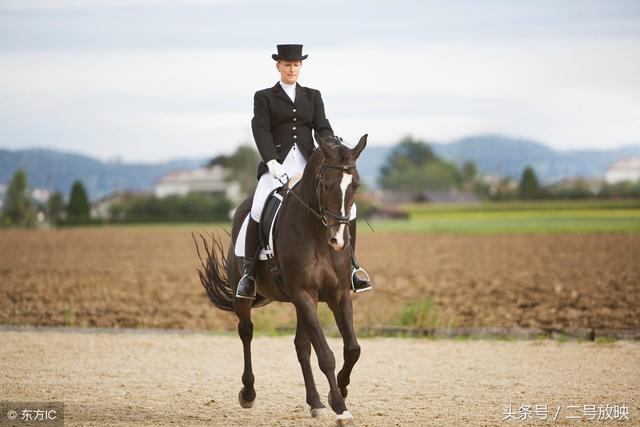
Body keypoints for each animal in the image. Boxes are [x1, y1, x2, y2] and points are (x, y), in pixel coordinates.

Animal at [192, 135, 368, 426]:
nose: (338, 241)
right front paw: (341, 407)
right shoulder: (304, 295)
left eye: (355, 184)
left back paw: (315, 401)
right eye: (326, 184)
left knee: (301, 346)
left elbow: (352, 349)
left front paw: (338, 393)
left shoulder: (338, 295)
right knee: (246, 332)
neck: (316, 233)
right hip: (247, 296)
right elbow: (326, 355)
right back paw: (248, 393)